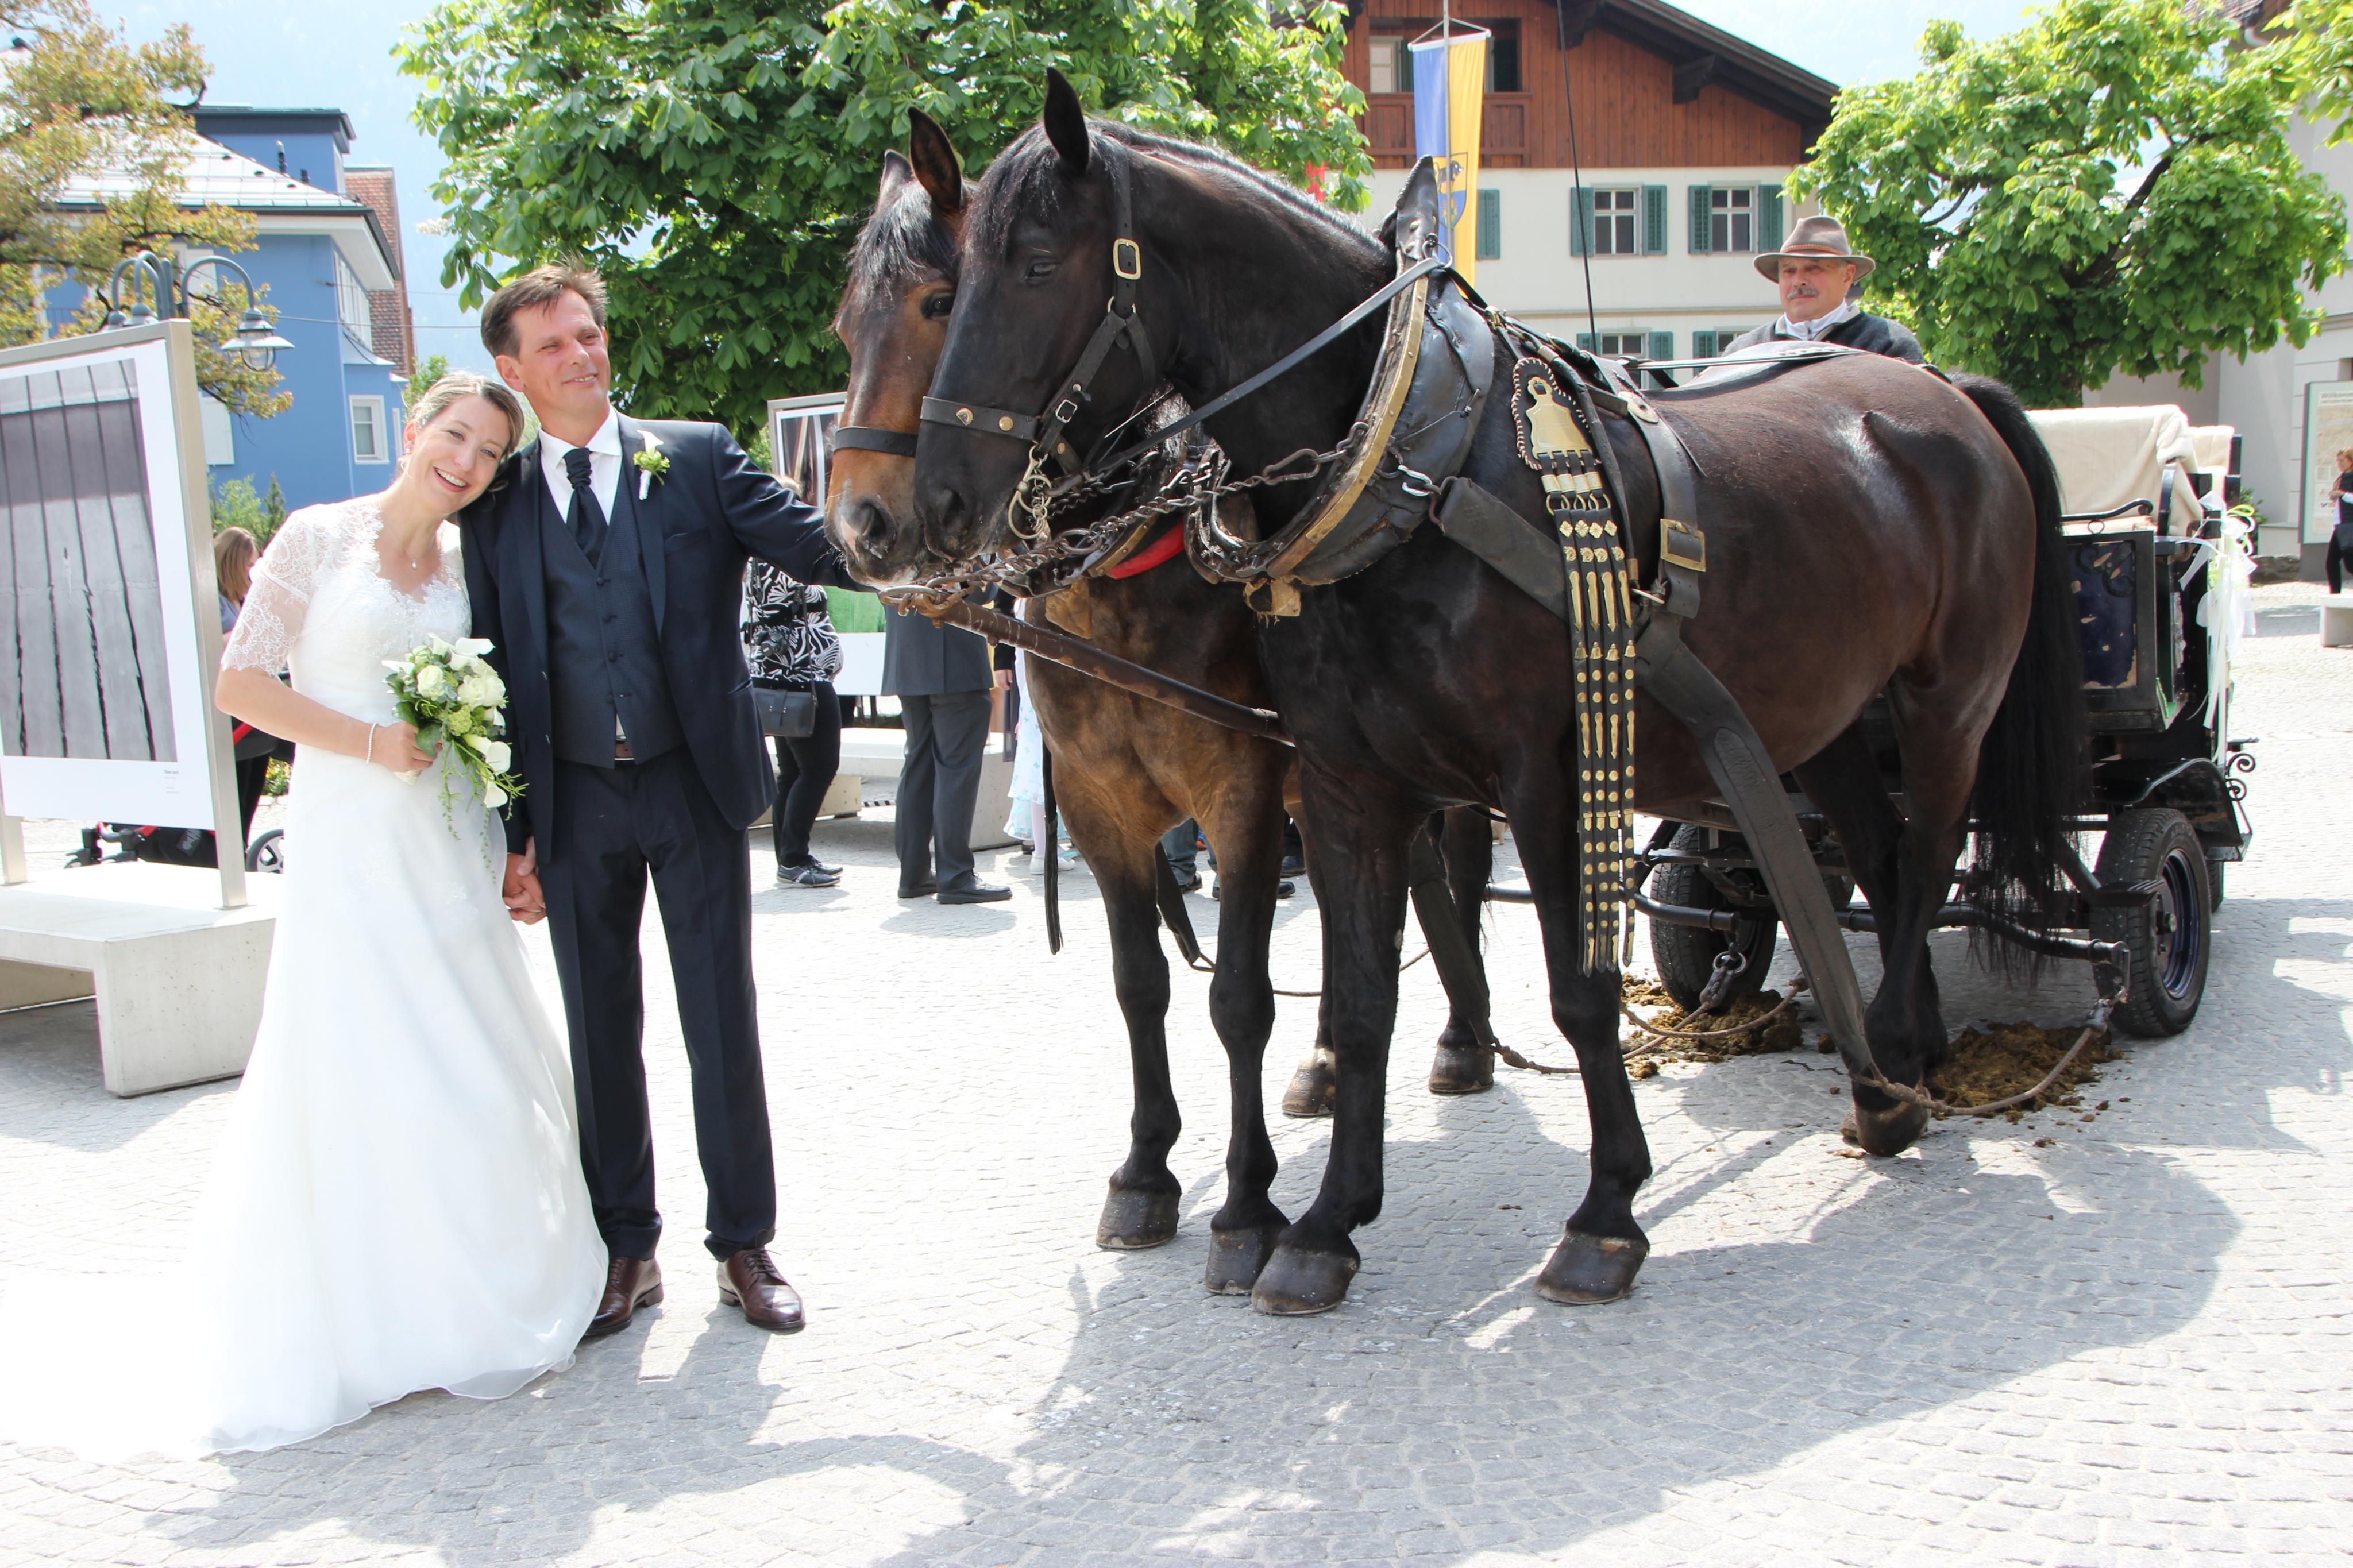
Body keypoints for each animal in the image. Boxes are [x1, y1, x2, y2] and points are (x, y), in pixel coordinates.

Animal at [824, 113, 1502, 1294]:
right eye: (846, 322)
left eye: (939, 302)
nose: (863, 525)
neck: (1131, 566)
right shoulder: (1103, 810)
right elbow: (1141, 982)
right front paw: (1146, 1171)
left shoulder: (1241, 794)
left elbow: (1239, 997)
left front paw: (1247, 1204)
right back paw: (1334, 1063)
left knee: (1446, 869)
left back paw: (1463, 1036)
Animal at [893, 75, 2083, 1316]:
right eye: (948, 283)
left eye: (1034, 263)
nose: (934, 502)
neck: (1416, 464)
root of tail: (1946, 394)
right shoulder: (1345, 778)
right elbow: (1360, 997)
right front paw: (1325, 1223)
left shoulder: (1546, 777)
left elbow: (1578, 989)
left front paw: (1605, 1211)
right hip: (1821, 715)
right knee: (1876, 855)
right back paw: (1902, 1054)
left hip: (1947, 703)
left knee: (1928, 855)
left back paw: (1889, 1075)